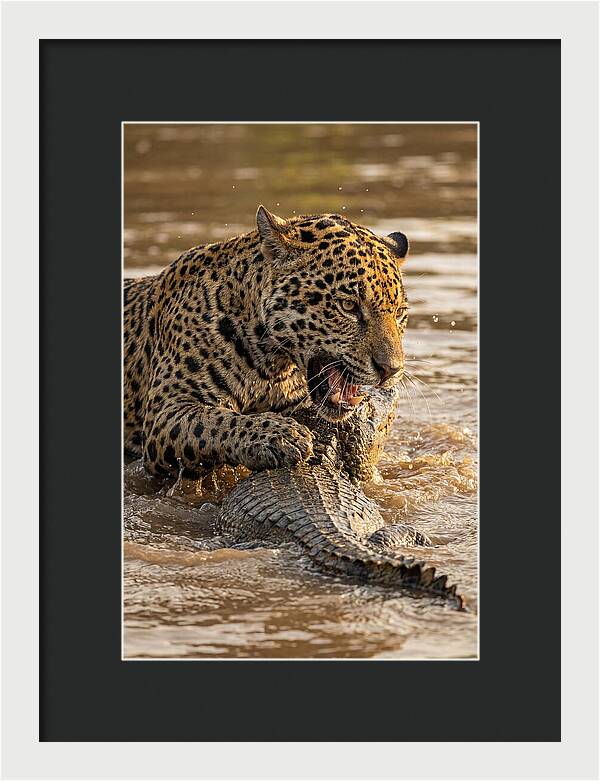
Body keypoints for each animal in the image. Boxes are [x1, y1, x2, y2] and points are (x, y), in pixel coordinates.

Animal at [123, 206, 410, 478]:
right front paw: (280, 435)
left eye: (399, 313)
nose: (391, 370)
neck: (271, 365)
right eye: (348, 306)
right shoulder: (166, 411)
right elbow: (215, 420)